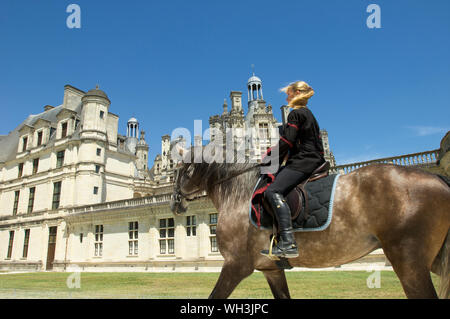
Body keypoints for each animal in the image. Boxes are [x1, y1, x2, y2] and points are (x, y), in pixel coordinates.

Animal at [170, 150, 450, 300]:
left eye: (179, 172)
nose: (175, 204)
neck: (239, 192)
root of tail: (438, 177)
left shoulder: (236, 265)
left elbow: (214, 296)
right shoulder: (271, 269)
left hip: (409, 262)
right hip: (432, 260)